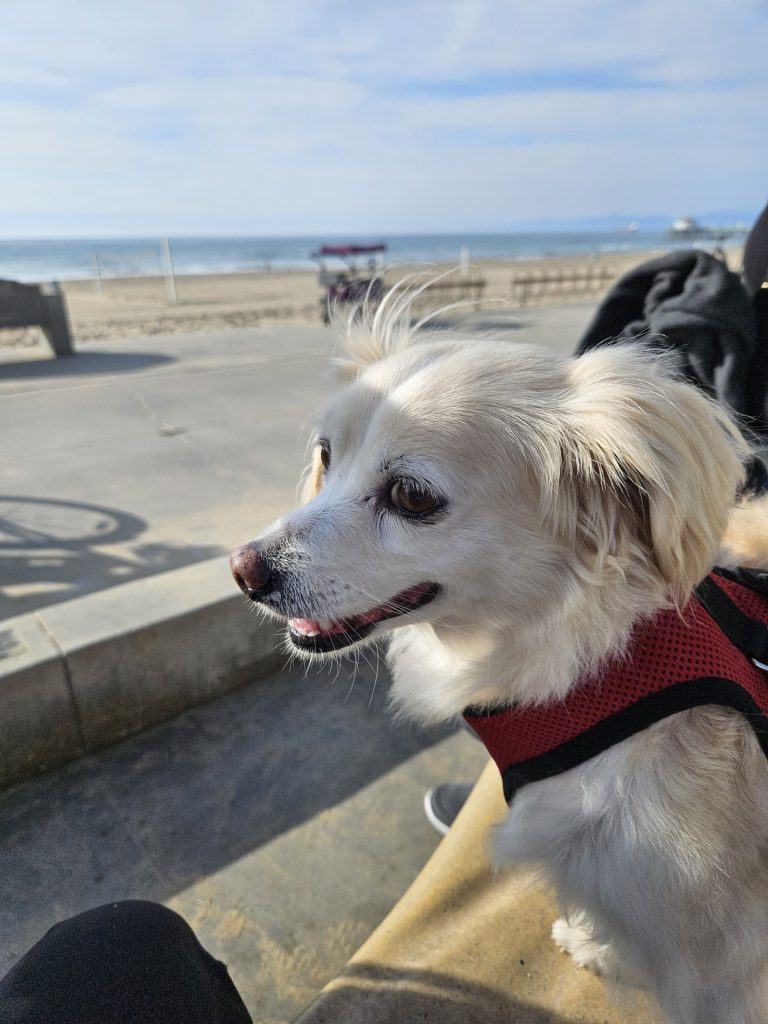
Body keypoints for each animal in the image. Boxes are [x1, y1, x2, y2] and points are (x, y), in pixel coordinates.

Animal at [231, 315, 768, 1019]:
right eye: (326, 456)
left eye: (412, 496)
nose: (242, 570)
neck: (599, 674)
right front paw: (604, 948)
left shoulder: (721, 967)